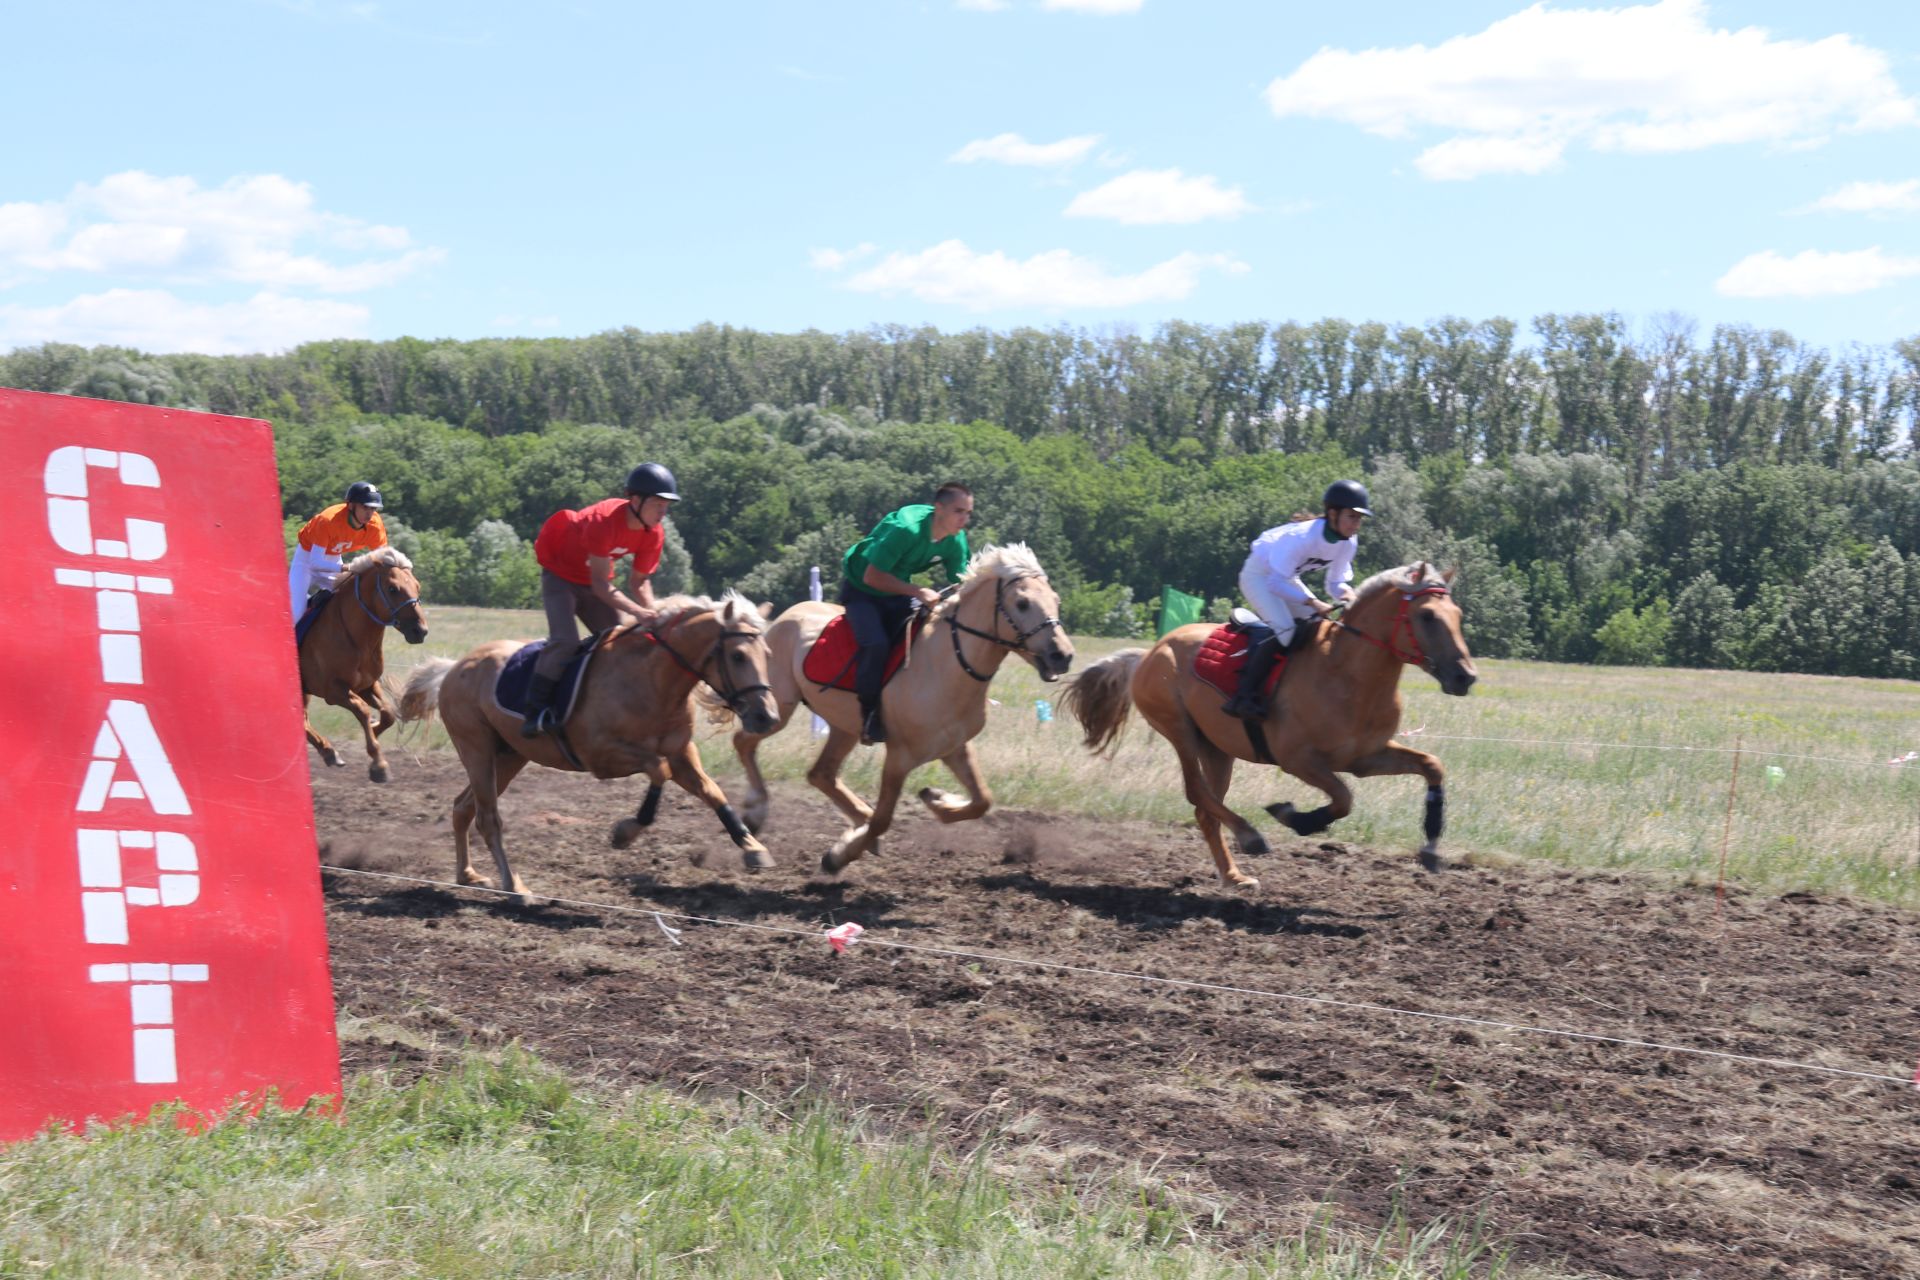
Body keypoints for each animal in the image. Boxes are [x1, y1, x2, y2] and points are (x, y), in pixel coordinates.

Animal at [295, 548, 428, 786]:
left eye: (417, 586)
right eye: (393, 589)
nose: (420, 630)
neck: (357, 639)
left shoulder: (367, 685)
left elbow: (388, 713)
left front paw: (375, 729)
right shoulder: (334, 691)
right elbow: (363, 710)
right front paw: (378, 764)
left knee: (303, 720)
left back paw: (329, 752)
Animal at [397, 594, 779, 905]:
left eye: (768, 654)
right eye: (738, 655)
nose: (767, 716)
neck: (654, 680)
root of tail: (454, 668)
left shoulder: (682, 753)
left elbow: (712, 792)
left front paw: (753, 847)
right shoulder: (602, 757)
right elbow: (659, 770)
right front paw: (626, 831)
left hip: (508, 756)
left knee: (463, 808)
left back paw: (468, 875)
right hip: (476, 748)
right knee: (487, 819)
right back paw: (515, 887)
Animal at [706, 545, 1075, 875]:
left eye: (1056, 601)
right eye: (1022, 603)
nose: (1063, 655)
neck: (947, 665)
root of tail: (783, 618)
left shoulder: (955, 747)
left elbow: (982, 800)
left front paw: (936, 798)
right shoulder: (900, 755)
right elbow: (884, 818)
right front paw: (836, 858)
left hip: (844, 727)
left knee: (821, 774)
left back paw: (859, 823)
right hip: (776, 708)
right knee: (745, 743)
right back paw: (756, 813)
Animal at [1059, 560, 1474, 890]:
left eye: (1457, 615)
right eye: (1427, 616)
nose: (1465, 676)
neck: (1349, 676)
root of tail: (1150, 652)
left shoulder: (1365, 757)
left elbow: (1431, 766)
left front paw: (1431, 850)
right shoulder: (1299, 761)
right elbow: (1343, 798)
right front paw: (1296, 818)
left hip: (1217, 749)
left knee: (1205, 808)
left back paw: (1233, 876)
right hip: (1180, 730)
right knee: (1196, 791)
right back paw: (1249, 836)